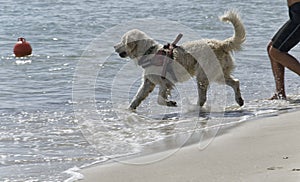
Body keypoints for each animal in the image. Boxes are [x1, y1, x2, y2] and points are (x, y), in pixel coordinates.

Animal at [113, 10, 245, 110]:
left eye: (122, 41)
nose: (114, 47)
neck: (150, 52)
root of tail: (221, 44)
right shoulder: (148, 82)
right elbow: (137, 97)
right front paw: (130, 109)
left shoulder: (165, 82)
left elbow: (160, 99)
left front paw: (170, 103)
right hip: (218, 73)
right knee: (236, 82)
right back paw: (239, 100)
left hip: (203, 75)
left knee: (203, 97)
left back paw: (195, 108)